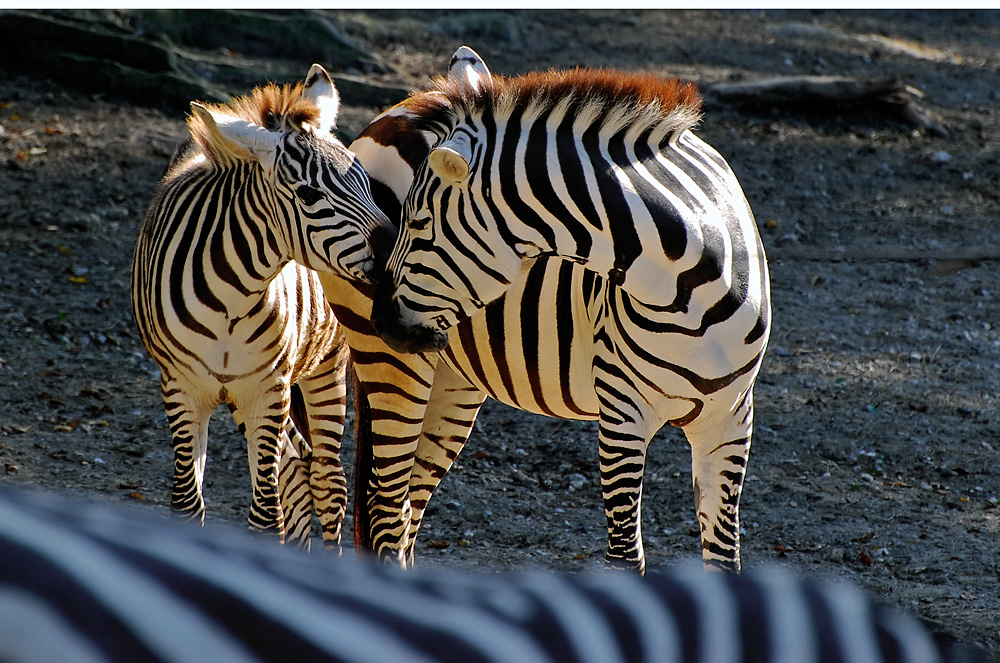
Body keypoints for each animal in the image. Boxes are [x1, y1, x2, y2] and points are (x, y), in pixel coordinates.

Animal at [135, 65, 392, 548]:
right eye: (308, 196)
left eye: (368, 185)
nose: (397, 254)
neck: (231, 300)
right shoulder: (182, 388)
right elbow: (187, 506)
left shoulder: (269, 391)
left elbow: (265, 517)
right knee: (297, 472)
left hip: (324, 365)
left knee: (328, 483)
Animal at [372, 62, 768, 572]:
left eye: (418, 224)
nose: (381, 319)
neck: (690, 294)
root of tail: (401, 106)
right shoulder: (622, 414)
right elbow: (625, 557)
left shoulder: (731, 421)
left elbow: (723, 559)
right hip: (396, 371)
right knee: (381, 505)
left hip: (453, 379)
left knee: (407, 508)